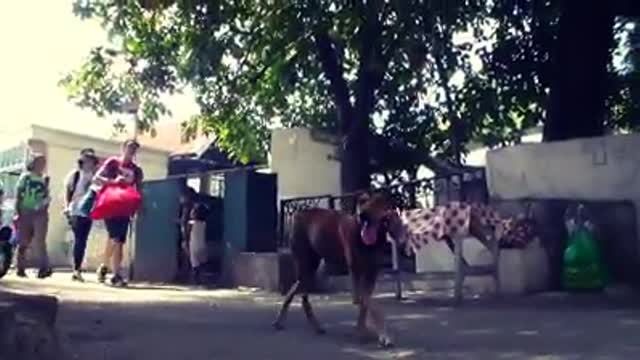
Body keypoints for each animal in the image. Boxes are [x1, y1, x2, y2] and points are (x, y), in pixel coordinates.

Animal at [272, 193, 408, 348]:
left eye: (378, 202)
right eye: (363, 203)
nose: (362, 215)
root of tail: (298, 214)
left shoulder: (372, 273)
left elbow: (365, 305)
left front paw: (362, 330)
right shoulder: (356, 273)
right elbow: (370, 305)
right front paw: (383, 335)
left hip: (311, 267)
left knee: (295, 289)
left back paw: (287, 321)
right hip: (304, 263)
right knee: (301, 294)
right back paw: (309, 324)